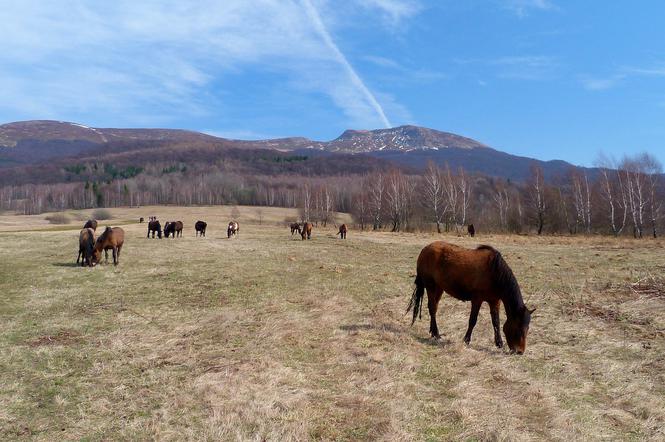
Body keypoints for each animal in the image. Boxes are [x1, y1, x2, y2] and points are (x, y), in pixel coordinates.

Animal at [404, 242, 536, 356]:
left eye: (527, 329)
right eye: (518, 329)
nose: (520, 352)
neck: (495, 273)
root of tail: (425, 249)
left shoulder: (495, 301)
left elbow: (496, 322)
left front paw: (499, 343)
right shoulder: (477, 300)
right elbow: (473, 320)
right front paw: (466, 340)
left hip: (439, 288)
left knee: (434, 308)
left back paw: (433, 332)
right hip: (431, 286)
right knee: (432, 308)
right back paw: (436, 334)